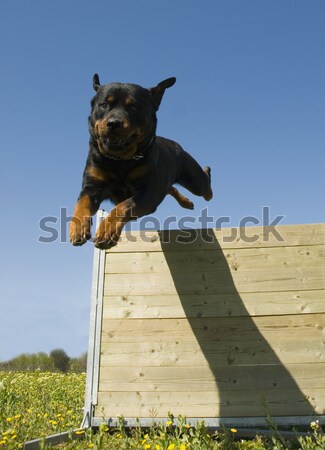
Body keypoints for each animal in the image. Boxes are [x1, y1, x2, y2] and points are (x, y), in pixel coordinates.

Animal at [70, 74, 213, 250]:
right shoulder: (92, 186)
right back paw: (186, 202)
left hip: (193, 178)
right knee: (170, 188)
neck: (119, 161)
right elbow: (81, 204)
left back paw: (207, 186)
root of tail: (175, 144)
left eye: (133, 107)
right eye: (104, 105)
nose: (113, 123)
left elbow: (122, 206)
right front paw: (77, 228)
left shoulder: (148, 192)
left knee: (204, 182)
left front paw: (107, 231)